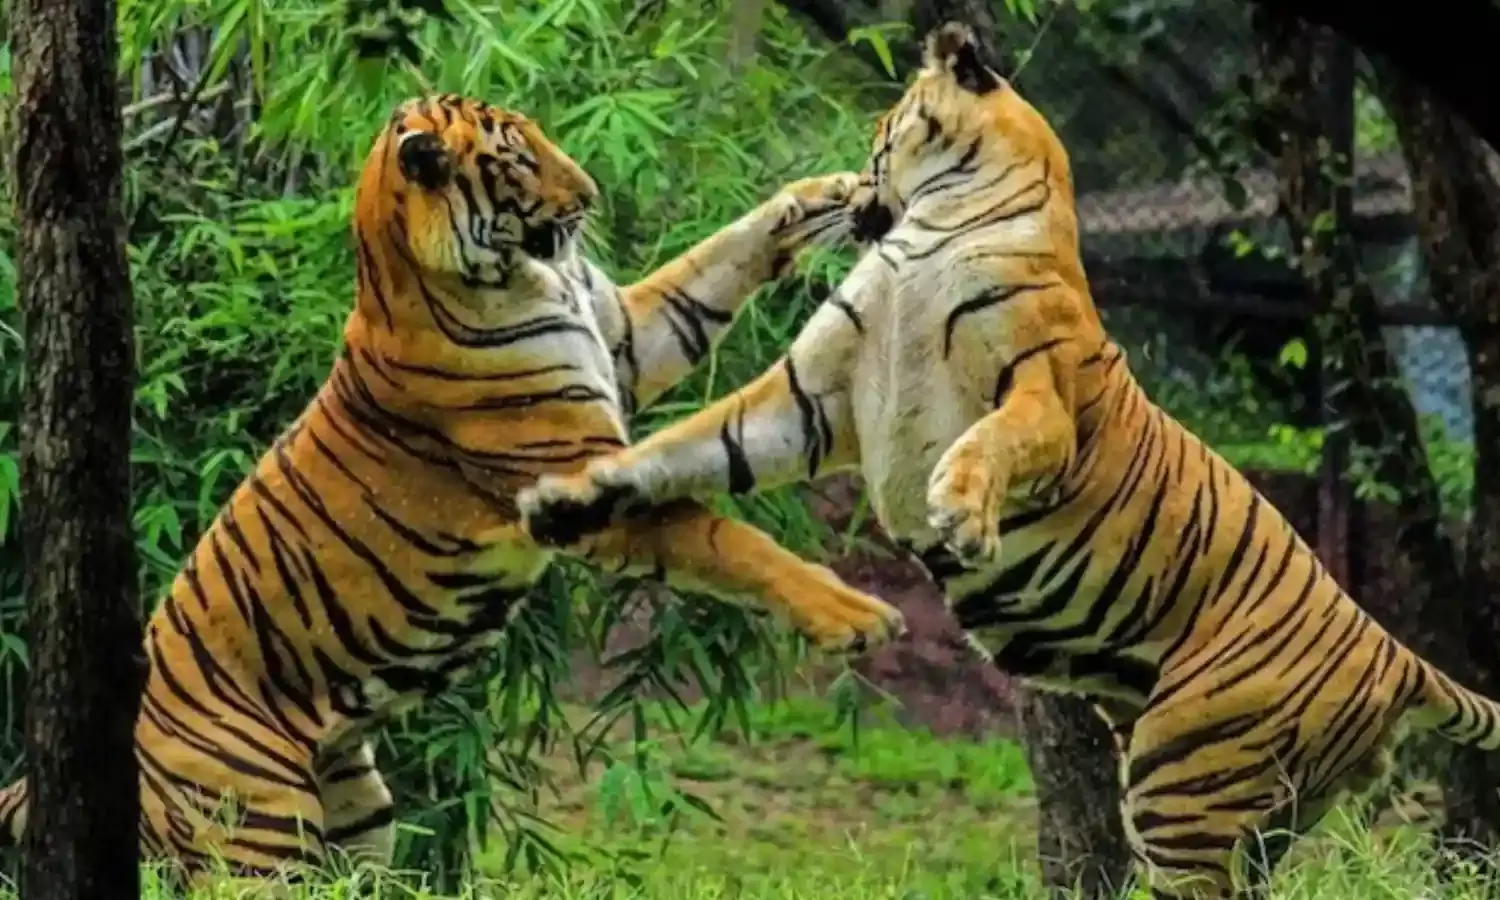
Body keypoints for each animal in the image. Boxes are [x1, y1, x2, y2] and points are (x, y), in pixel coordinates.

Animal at [0, 93, 905, 885]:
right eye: (519, 157)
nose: (591, 195)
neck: (525, 276)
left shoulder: (626, 337)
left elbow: (715, 261)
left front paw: (821, 194)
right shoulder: (579, 480)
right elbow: (729, 541)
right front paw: (856, 617)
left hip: (358, 813)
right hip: (261, 834)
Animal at [516, 24, 1500, 899]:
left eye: (880, 137)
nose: (856, 189)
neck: (935, 224)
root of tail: (1393, 653)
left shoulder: (1039, 392)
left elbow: (990, 441)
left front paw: (960, 510)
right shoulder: (809, 400)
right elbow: (689, 444)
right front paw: (571, 493)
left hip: (1189, 776)